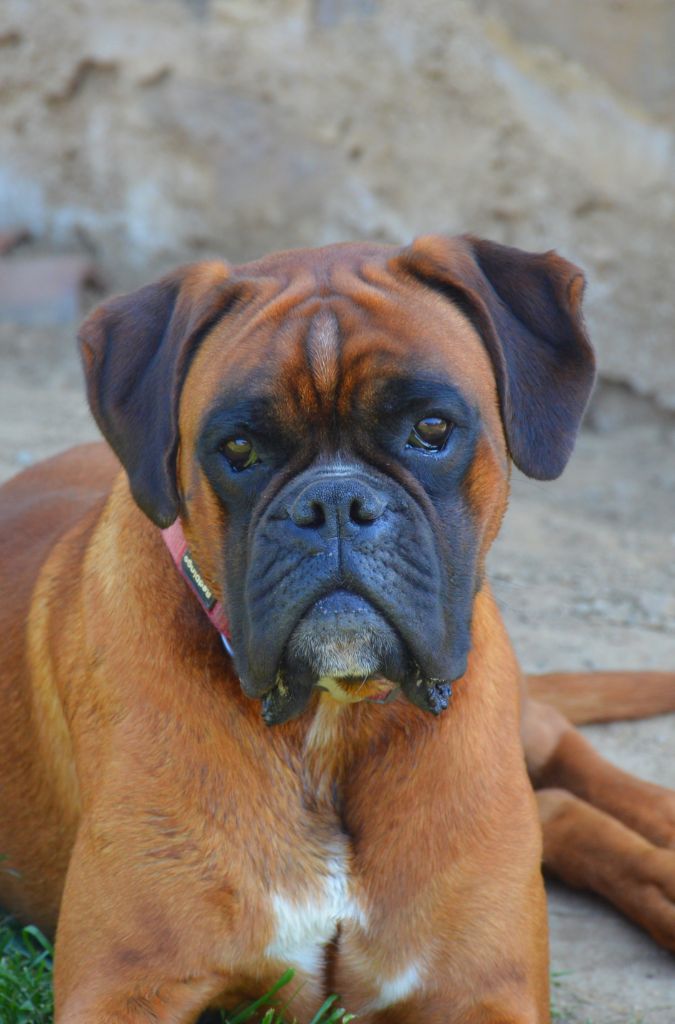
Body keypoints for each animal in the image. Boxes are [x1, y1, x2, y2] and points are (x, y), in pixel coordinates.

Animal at [1, 234, 675, 1024]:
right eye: (238, 448)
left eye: (431, 429)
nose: (333, 502)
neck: (333, 720)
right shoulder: (122, 988)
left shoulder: (485, 990)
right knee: (560, 808)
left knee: (564, 761)